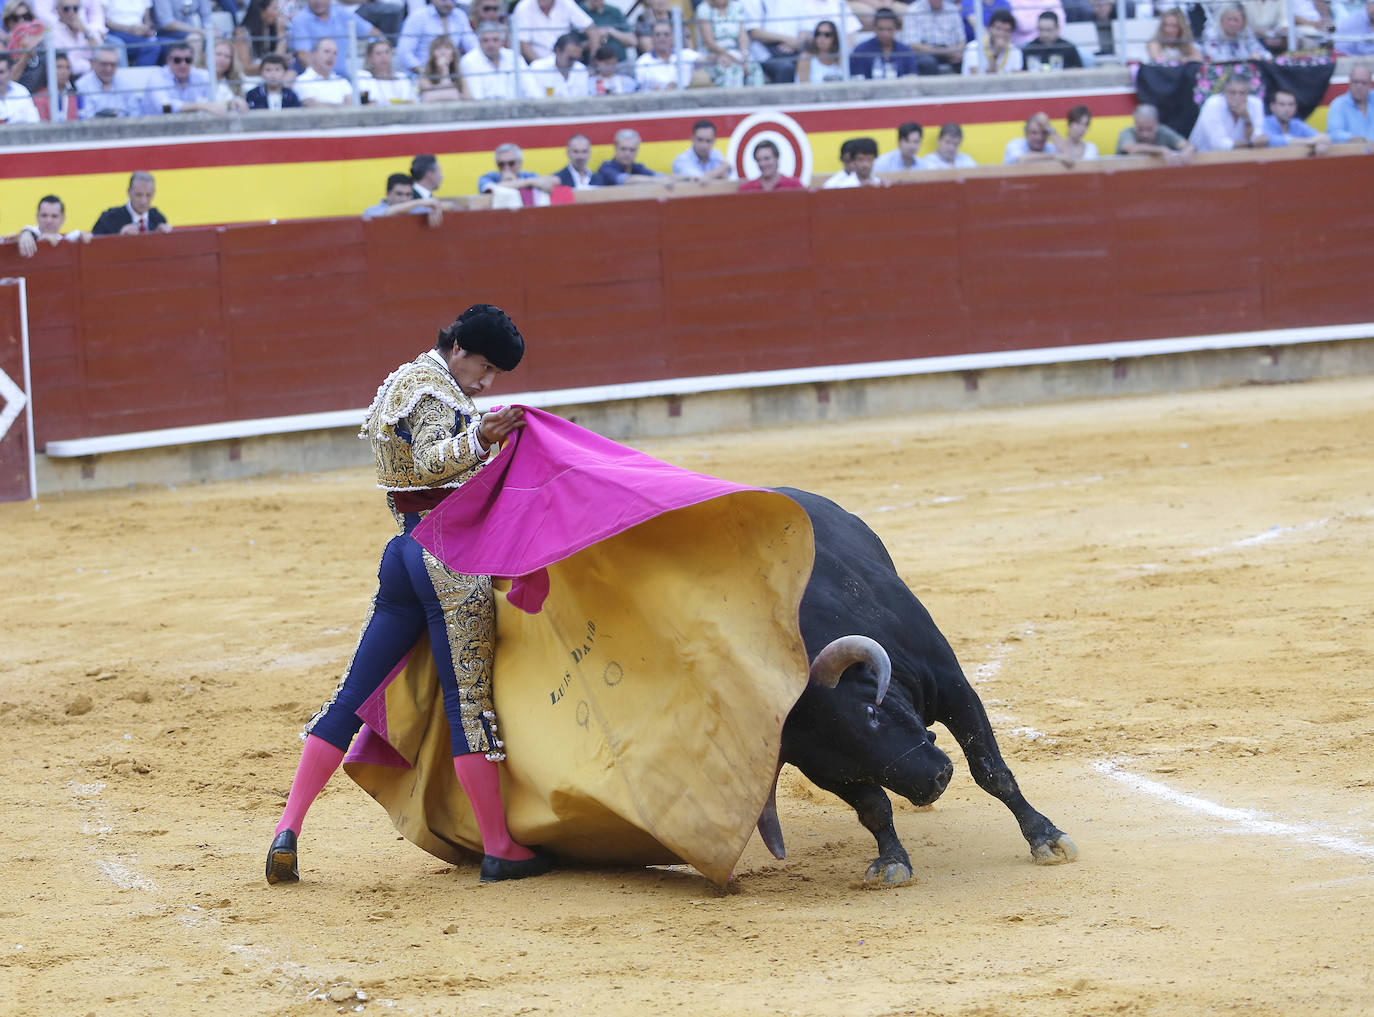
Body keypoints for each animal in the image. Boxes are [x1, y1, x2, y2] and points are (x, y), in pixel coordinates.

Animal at [758, 489, 1077, 885]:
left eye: (871, 712)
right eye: (841, 764)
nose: (934, 782)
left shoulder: (952, 684)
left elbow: (991, 770)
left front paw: (1045, 837)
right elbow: (873, 806)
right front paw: (892, 859)